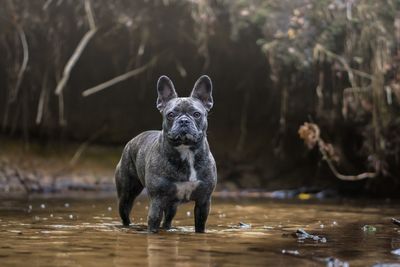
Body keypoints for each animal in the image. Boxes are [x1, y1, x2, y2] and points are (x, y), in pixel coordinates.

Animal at [114, 75, 217, 234]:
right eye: (171, 115)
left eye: (196, 114)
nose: (184, 121)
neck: (186, 151)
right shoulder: (157, 200)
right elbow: (153, 222)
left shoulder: (203, 201)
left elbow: (200, 226)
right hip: (126, 194)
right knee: (125, 214)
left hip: (172, 205)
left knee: (167, 220)